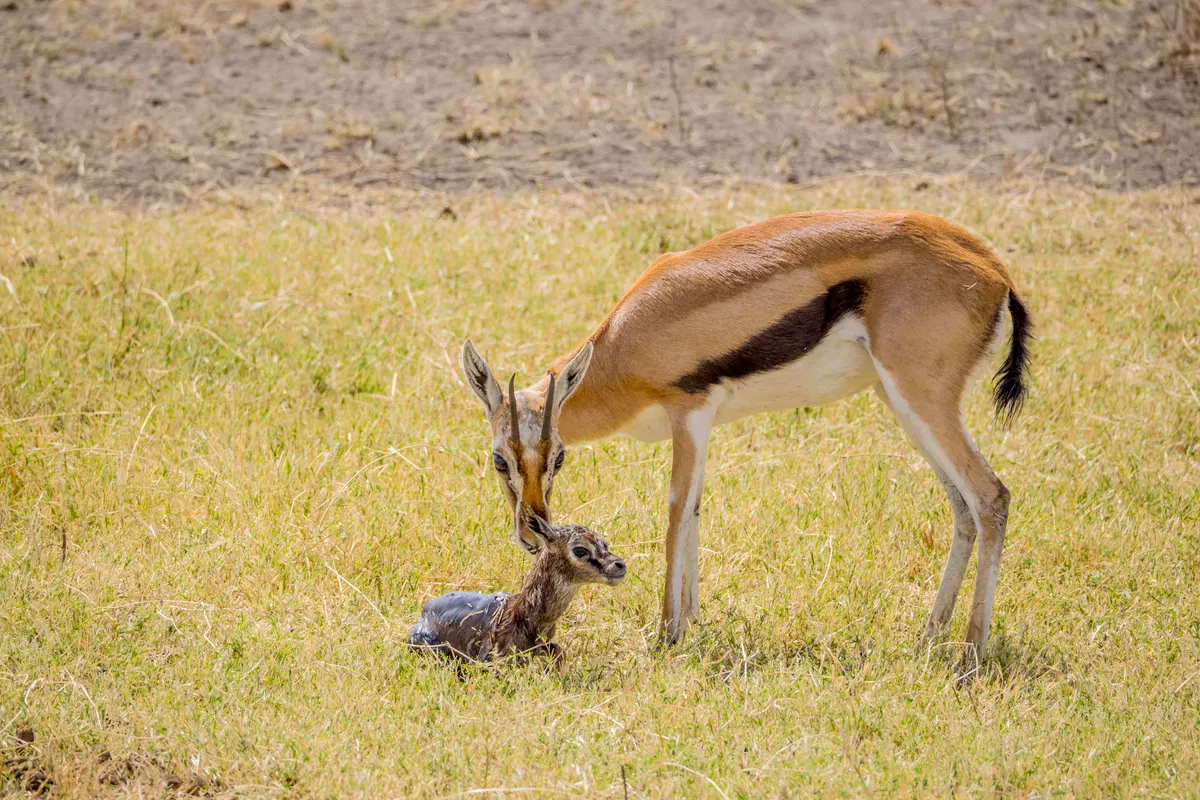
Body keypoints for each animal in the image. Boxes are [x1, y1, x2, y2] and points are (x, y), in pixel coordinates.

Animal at [461, 209, 1031, 657]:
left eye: (558, 457)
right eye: (499, 458)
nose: (533, 529)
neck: (627, 339)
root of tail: (994, 270)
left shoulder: (689, 411)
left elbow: (676, 511)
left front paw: (666, 633)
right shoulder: (703, 423)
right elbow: (695, 509)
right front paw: (692, 622)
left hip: (922, 400)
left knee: (991, 496)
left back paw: (971, 653)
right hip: (901, 402)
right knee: (961, 505)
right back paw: (930, 636)